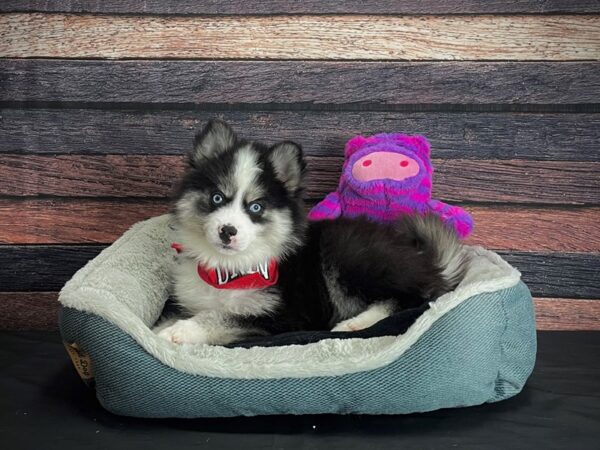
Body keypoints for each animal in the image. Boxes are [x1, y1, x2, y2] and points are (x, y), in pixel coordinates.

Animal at [155, 119, 468, 344]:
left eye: (256, 207)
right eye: (217, 198)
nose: (227, 231)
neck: (226, 271)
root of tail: (428, 262)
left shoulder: (282, 316)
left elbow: (219, 316)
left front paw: (179, 332)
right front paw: (161, 329)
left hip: (350, 256)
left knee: (410, 300)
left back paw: (354, 323)